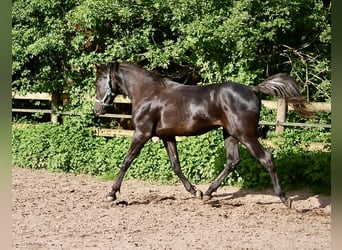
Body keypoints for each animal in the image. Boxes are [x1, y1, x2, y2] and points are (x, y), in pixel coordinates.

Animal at [93, 62, 312, 207]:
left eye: (98, 82)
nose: (97, 110)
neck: (148, 93)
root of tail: (252, 89)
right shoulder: (167, 136)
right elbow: (176, 165)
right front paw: (195, 191)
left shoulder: (142, 133)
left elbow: (126, 161)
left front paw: (112, 193)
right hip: (229, 134)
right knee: (233, 161)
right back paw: (208, 193)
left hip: (245, 135)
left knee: (266, 158)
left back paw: (284, 198)